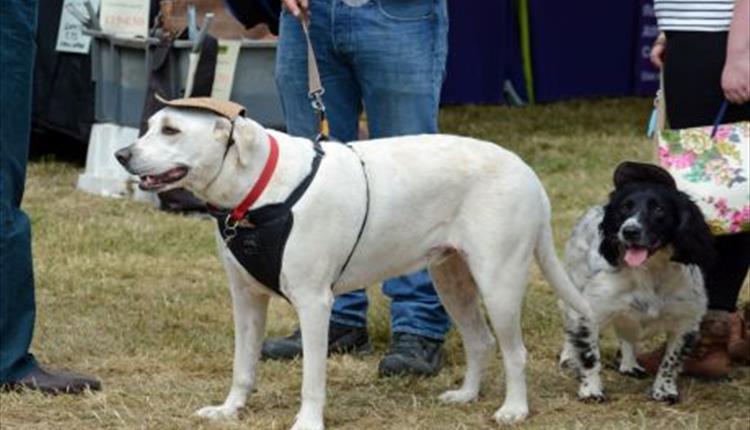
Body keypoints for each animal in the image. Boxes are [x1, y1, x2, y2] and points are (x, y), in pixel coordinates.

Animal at [116, 99, 592, 428]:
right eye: (151, 127)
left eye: (172, 130)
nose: (122, 154)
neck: (259, 190)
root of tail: (525, 169)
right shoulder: (246, 299)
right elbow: (242, 366)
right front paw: (230, 409)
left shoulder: (314, 304)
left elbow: (312, 379)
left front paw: (308, 423)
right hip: (451, 278)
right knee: (480, 341)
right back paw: (466, 396)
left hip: (498, 284)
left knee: (515, 351)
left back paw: (514, 408)